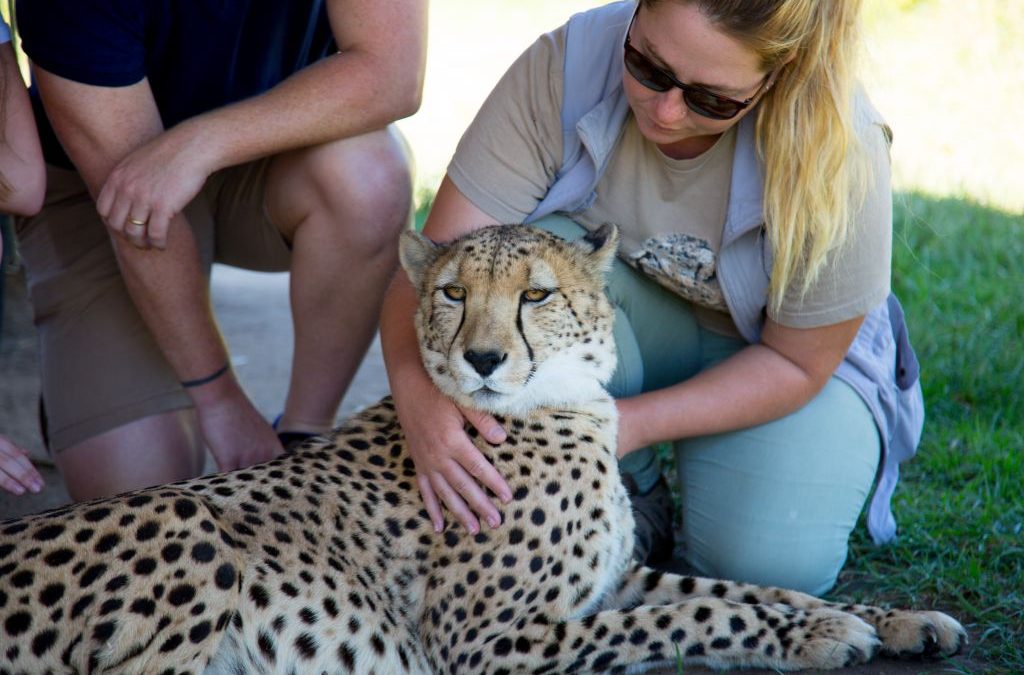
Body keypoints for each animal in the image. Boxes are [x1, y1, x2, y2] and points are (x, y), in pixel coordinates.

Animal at [0, 224, 962, 671]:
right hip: (192, 522)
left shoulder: (611, 581)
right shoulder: (487, 644)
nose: (486, 358)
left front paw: (890, 618)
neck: (558, 407)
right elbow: (691, 617)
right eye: (453, 293)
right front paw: (822, 630)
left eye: (536, 294)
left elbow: (739, 588)